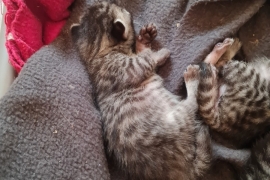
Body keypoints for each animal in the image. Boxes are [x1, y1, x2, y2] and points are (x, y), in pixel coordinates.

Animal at [70, 1, 212, 180]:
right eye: (120, 8)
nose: (122, 4)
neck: (96, 55)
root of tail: (183, 170)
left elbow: (142, 52)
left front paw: (144, 39)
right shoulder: (129, 68)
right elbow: (146, 58)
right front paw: (159, 53)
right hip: (177, 118)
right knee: (192, 105)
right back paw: (192, 78)